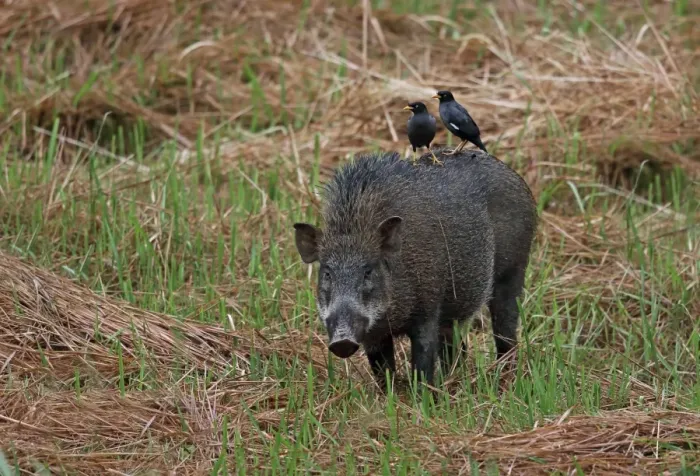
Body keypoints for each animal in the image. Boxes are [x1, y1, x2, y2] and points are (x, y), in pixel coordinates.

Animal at [293, 148, 537, 386]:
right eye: (327, 273)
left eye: (368, 271)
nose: (342, 341)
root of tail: (516, 177)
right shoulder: (374, 336)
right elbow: (383, 372)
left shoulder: (427, 312)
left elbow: (422, 366)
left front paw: (423, 395)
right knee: (457, 348)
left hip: (512, 271)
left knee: (505, 332)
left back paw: (505, 379)